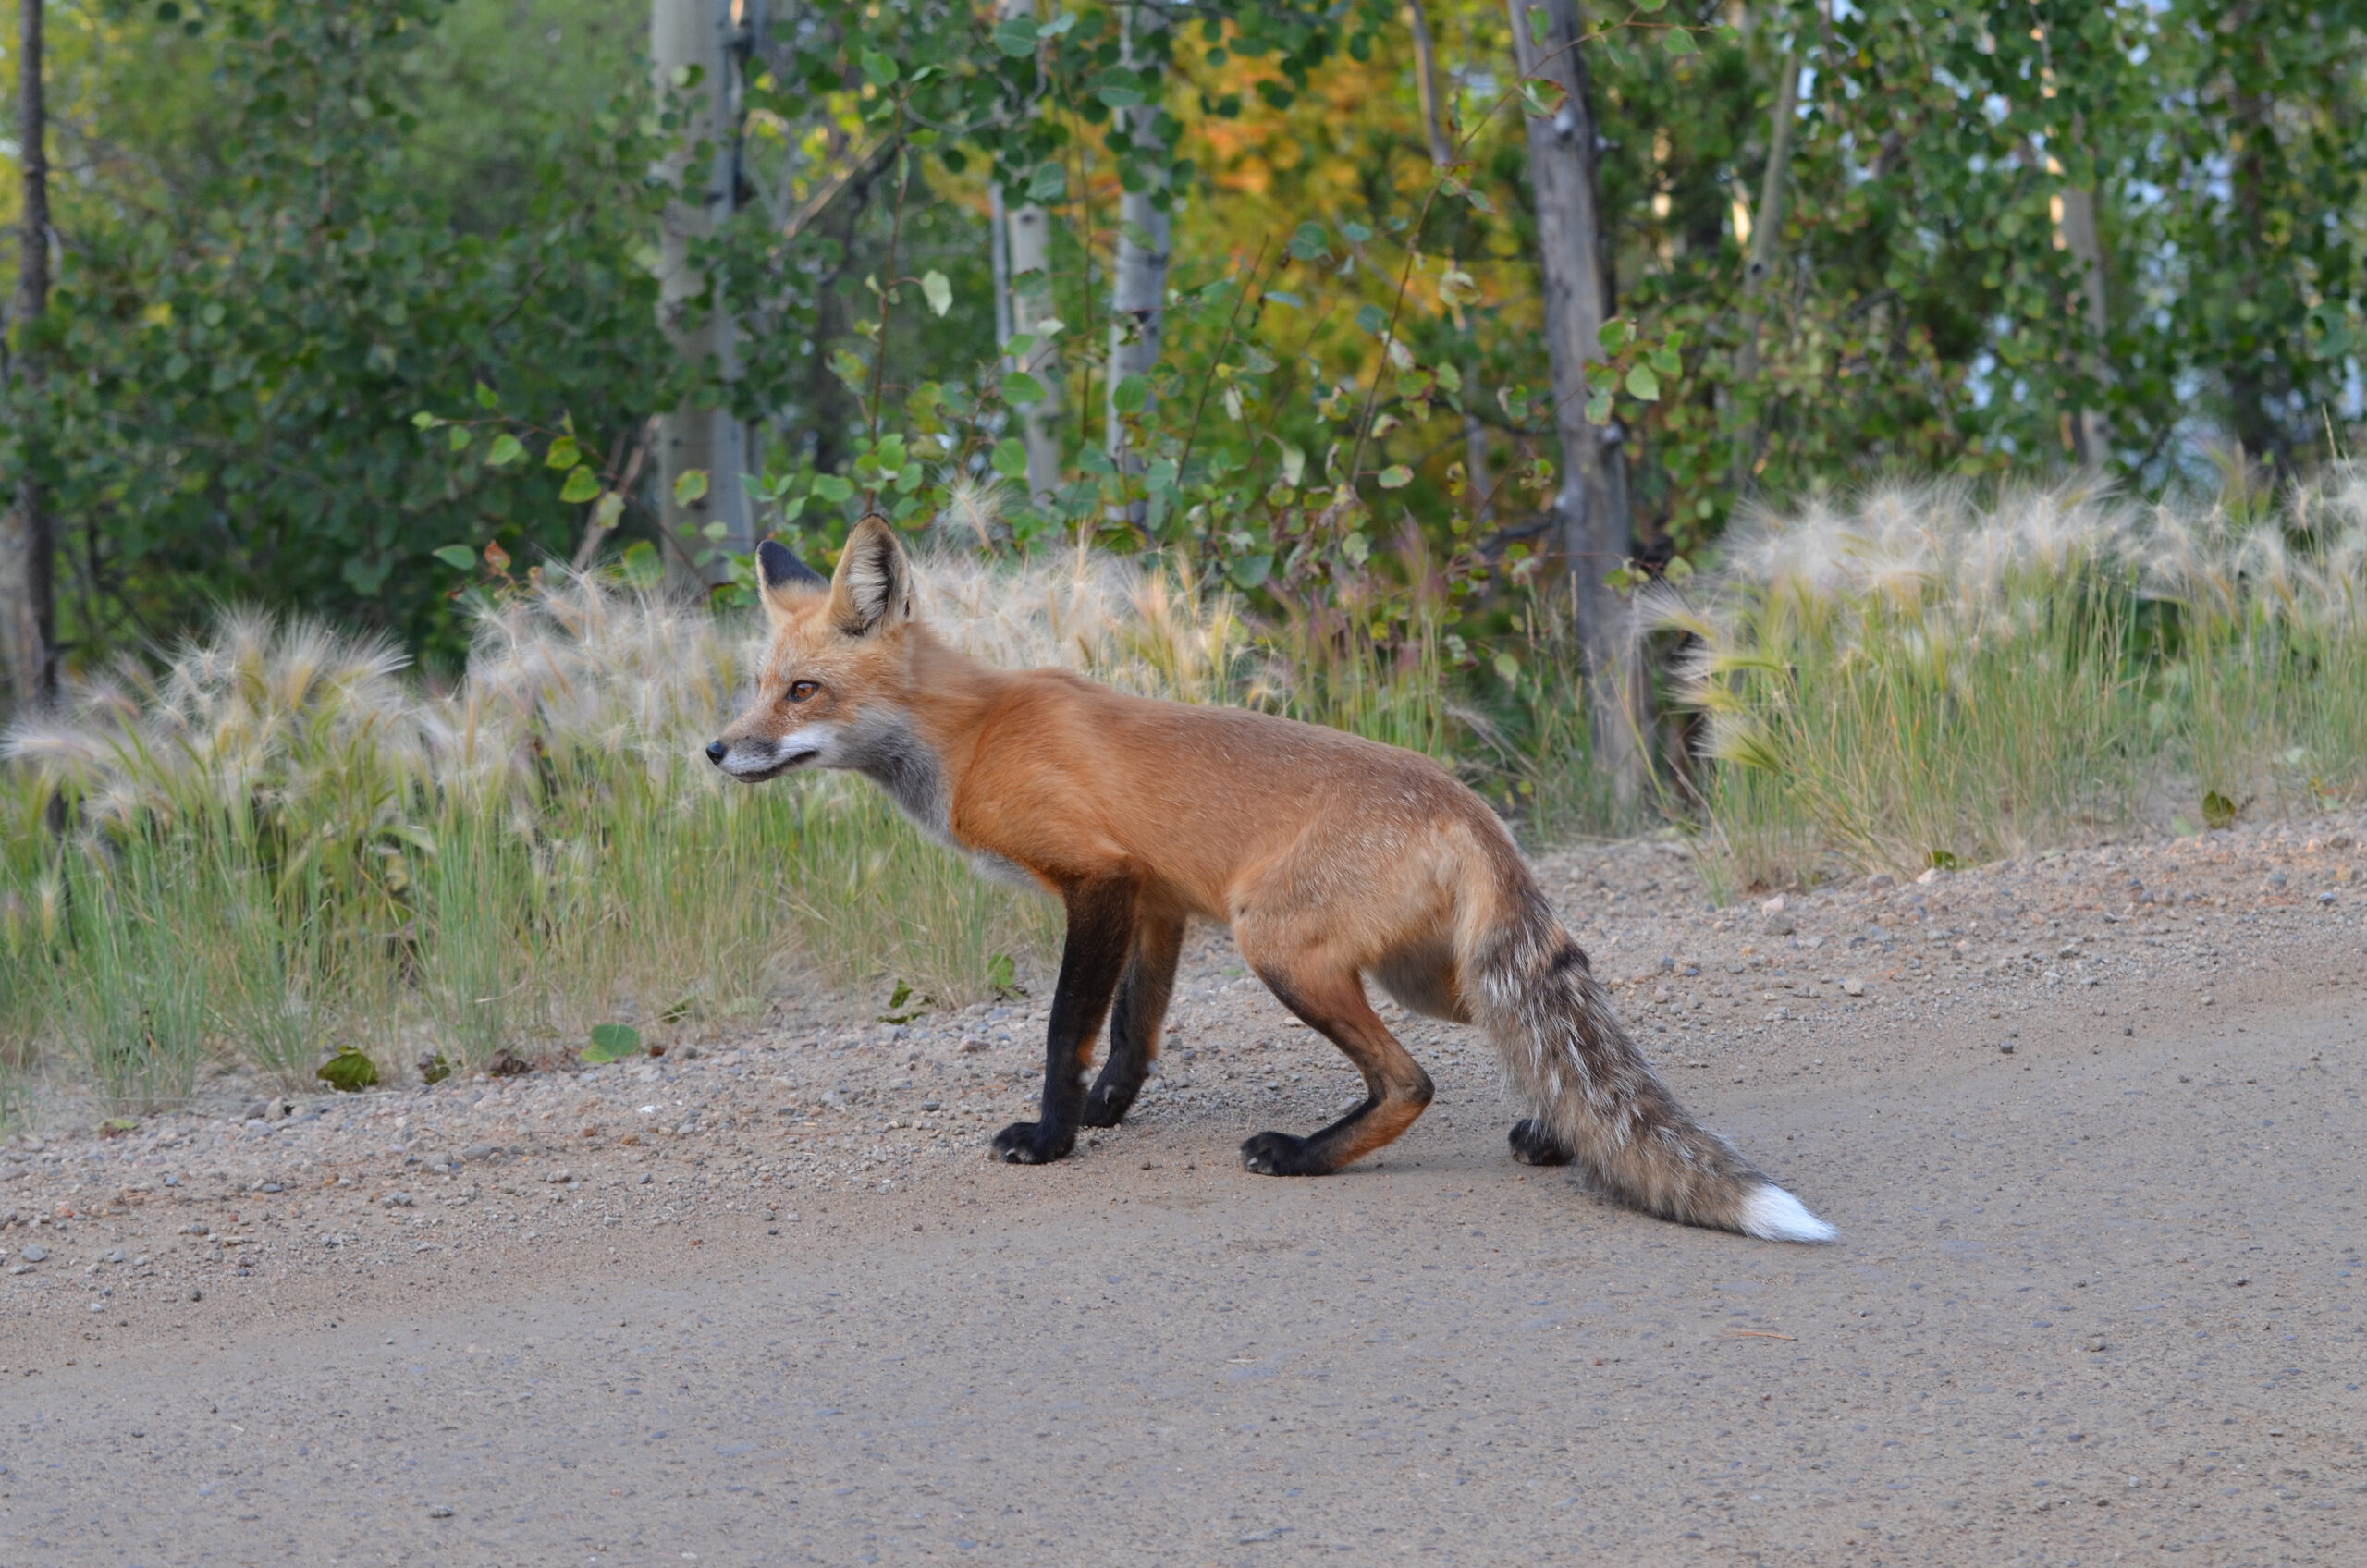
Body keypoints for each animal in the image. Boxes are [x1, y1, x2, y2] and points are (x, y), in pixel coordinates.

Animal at [710, 521, 1836, 1250]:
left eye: (803, 690)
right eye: (760, 686)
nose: (716, 750)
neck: (973, 735)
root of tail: (1470, 807)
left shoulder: (1098, 878)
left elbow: (1066, 1028)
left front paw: (1053, 1136)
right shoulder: (1155, 901)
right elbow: (1133, 1032)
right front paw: (1109, 1112)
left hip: (1279, 946)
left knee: (1412, 1082)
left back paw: (1302, 1155)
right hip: (1429, 974)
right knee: (1544, 1038)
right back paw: (1549, 1130)